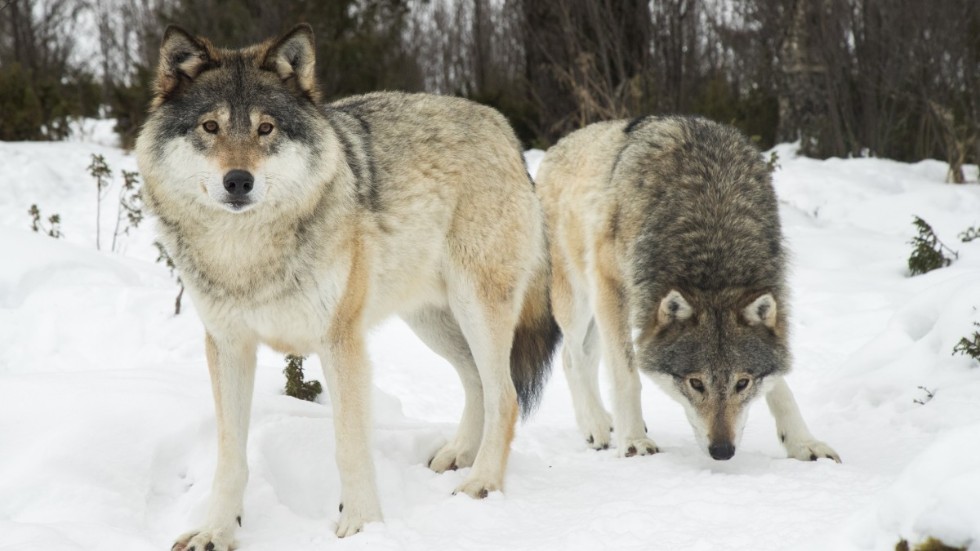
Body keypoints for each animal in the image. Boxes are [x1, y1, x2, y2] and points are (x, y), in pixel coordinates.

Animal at [134, 23, 560, 548]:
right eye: (210, 127)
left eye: (266, 128)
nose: (238, 181)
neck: (247, 252)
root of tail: (504, 129)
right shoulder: (228, 346)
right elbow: (230, 456)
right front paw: (216, 530)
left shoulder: (341, 343)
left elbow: (350, 447)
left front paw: (362, 526)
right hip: (434, 323)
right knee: (478, 381)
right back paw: (459, 454)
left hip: (476, 308)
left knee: (507, 395)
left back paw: (481, 482)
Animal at [536, 116, 844, 466]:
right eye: (696, 383)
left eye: (742, 383)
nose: (722, 451)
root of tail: (558, 146)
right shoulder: (610, 284)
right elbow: (627, 375)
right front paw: (634, 442)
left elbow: (781, 387)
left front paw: (803, 443)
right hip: (580, 299)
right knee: (570, 356)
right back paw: (595, 425)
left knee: (587, 356)